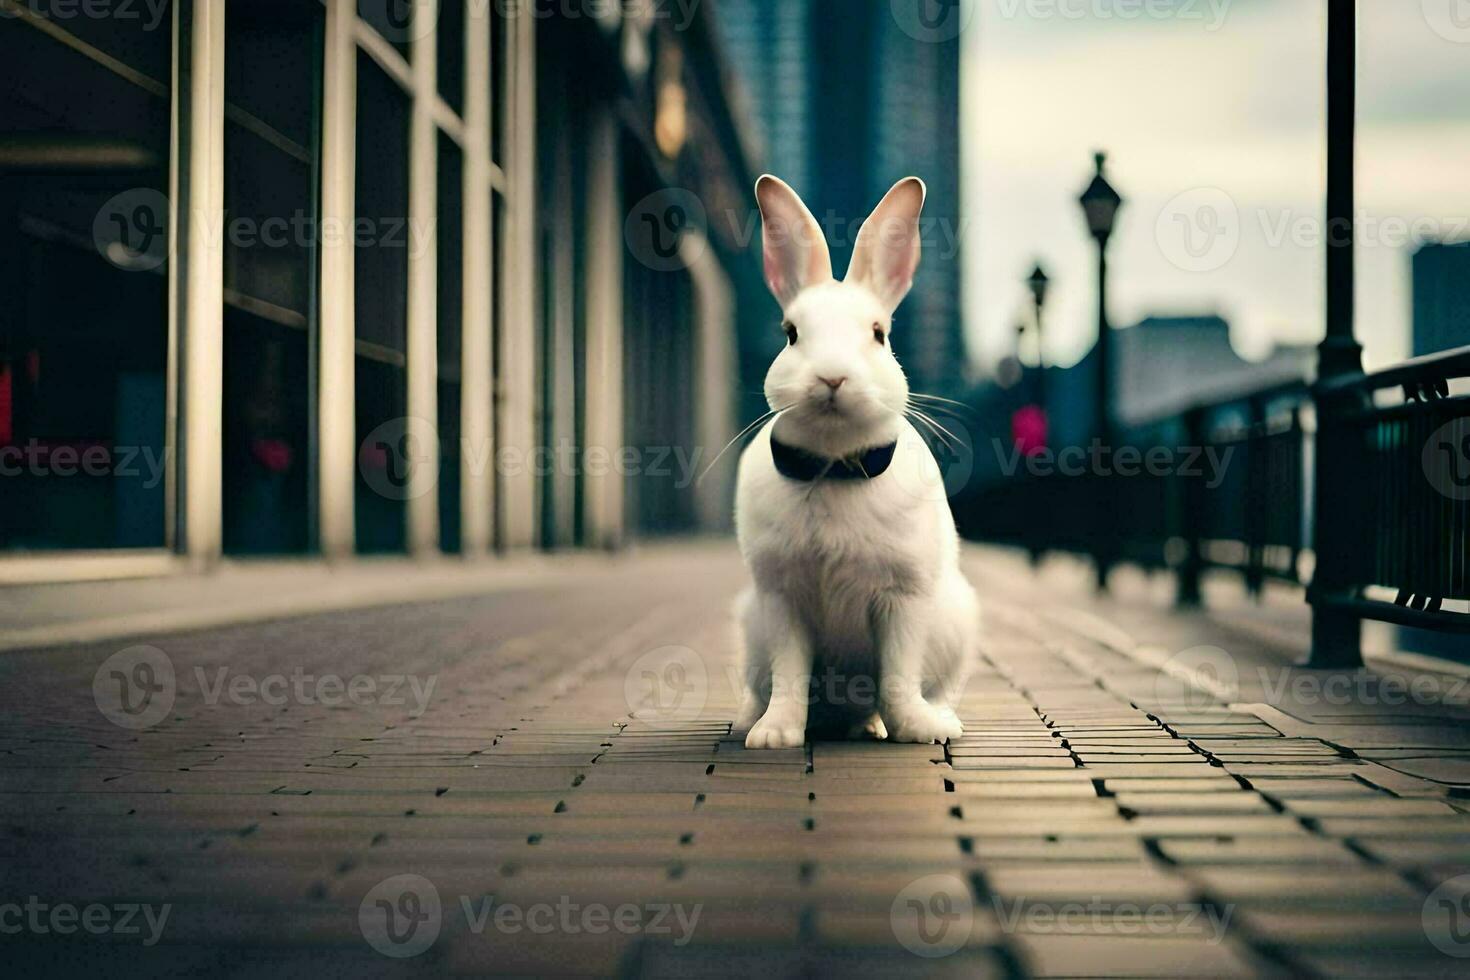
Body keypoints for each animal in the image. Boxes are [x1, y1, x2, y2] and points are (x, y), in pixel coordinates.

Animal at [732, 174, 976, 752]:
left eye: (879, 334)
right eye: (791, 333)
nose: (832, 377)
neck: (831, 467)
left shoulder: (903, 597)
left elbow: (898, 677)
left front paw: (919, 731)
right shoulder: (782, 598)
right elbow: (790, 675)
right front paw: (774, 736)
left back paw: (913, 720)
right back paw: (754, 720)